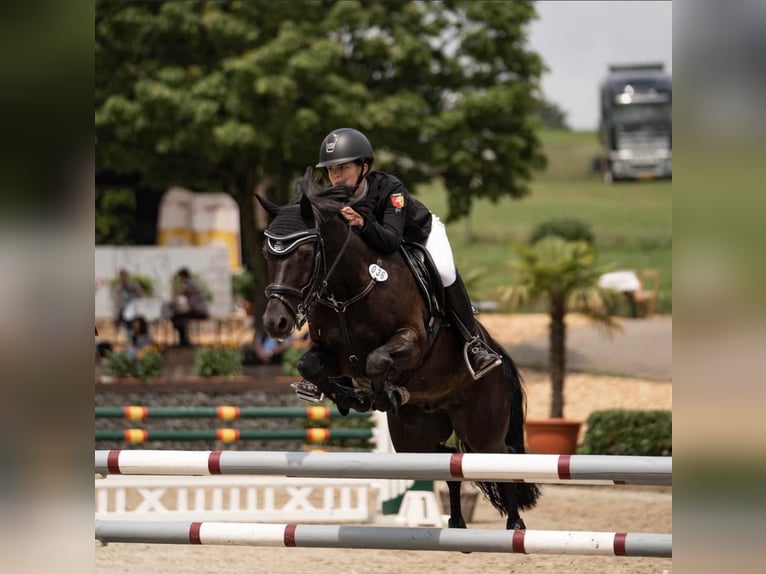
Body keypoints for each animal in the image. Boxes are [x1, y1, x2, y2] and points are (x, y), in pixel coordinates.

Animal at [256, 172, 540, 532]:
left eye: (306, 254)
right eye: (268, 255)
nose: (275, 323)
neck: (348, 291)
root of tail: (496, 352)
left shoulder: (412, 341)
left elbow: (377, 360)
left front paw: (381, 394)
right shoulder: (331, 354)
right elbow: (309, 365)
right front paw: (349, 396)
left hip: (482, 429)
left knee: (500, 458)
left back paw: (515, 525)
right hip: (415, 434)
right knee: (447, 457)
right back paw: (456, 522)